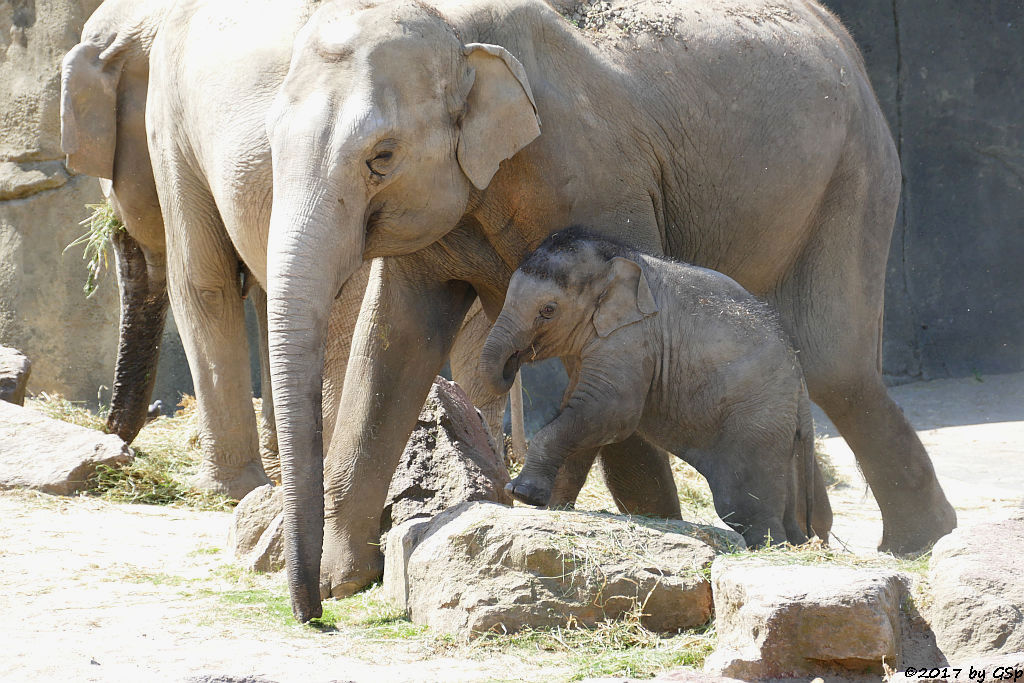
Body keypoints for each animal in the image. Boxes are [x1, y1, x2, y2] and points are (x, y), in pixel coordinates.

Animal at [479, 227, 831, 548]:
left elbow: (609, 411)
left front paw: (520, 494)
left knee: (742, 503)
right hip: (780, 432)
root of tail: (801, 387)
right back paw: (798, 544)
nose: (513, 364)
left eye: (548, 310)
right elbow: (577, 410)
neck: (614, 258)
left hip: (757, 424)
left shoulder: (632, 337)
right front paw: (548, 505)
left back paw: (768, 547)